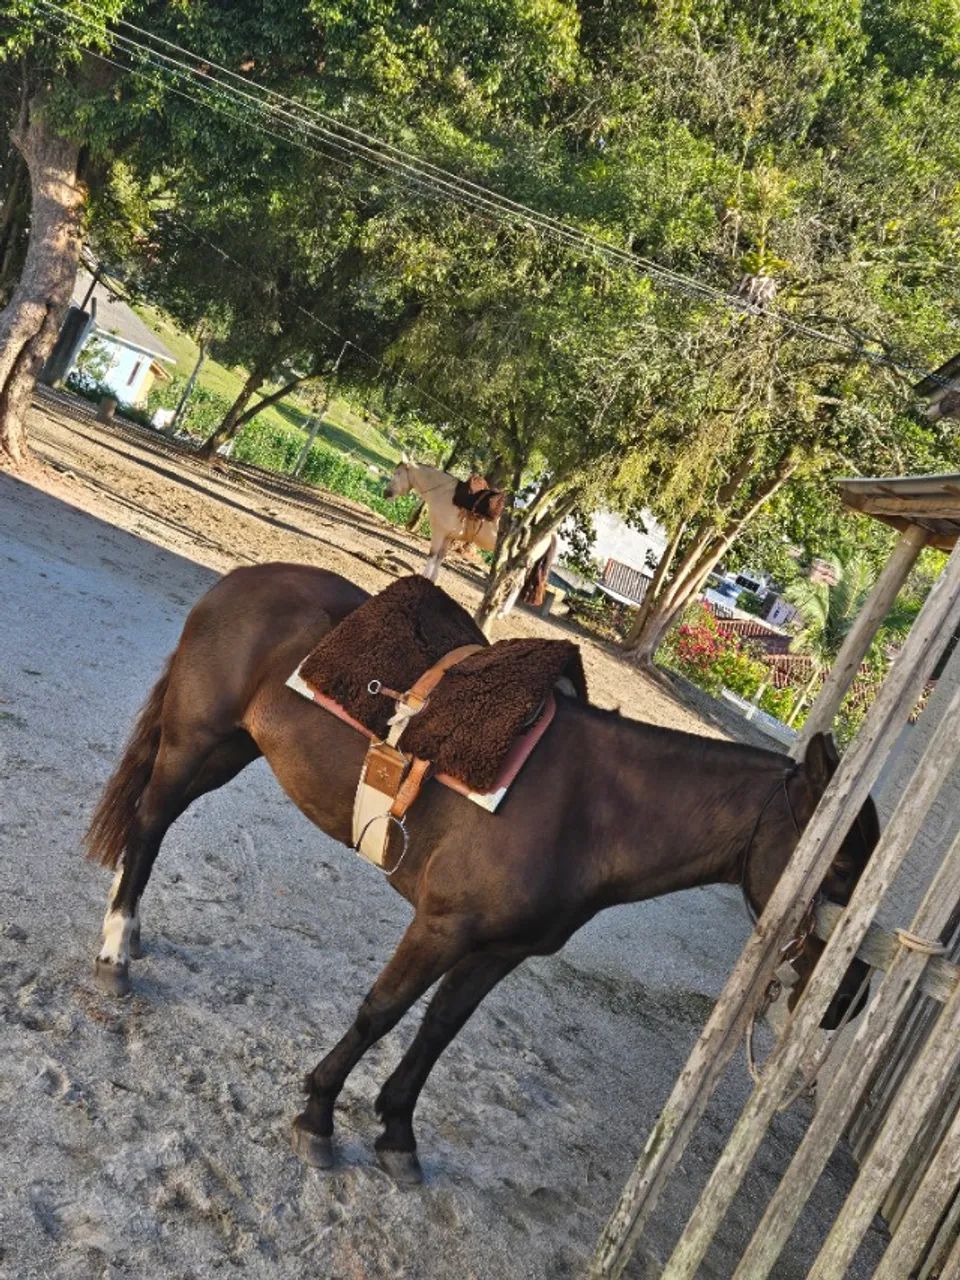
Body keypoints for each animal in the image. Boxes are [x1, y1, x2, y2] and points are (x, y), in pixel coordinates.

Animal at [85, 564, 877, 1187]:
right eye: (839, 864)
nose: (847, 1000)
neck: (590, 808)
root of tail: (239, 582)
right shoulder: (440, 926)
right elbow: (382, 1011)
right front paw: (317, 1116)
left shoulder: (499, 951)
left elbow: (440, 1030)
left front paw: (397, 1135)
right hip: (196, 743)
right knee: (149, 826)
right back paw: (116, 949)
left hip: (232, 750)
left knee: (152, 829)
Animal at [383, 457, 556, 604]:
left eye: (397, 473)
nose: (386, 493)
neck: (444, 494)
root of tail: (549, 532)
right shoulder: (448, 536)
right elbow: (440, 557)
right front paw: (431, 580)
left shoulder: (439, 532)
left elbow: (432, 555)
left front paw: (423, 578)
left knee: (517, 585)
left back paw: (501, 612)